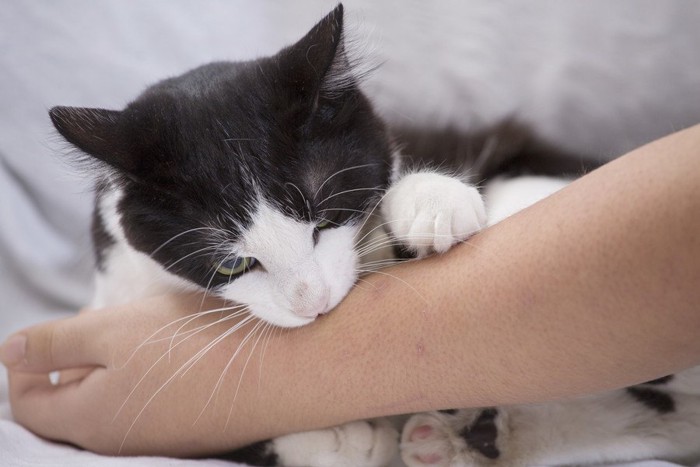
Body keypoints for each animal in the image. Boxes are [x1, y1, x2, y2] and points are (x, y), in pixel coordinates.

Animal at [49, 3, 700, 467]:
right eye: (231, 264)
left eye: (324, 214)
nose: (311, 303)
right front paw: (341, 443)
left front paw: (431, 203)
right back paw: (467, 440)